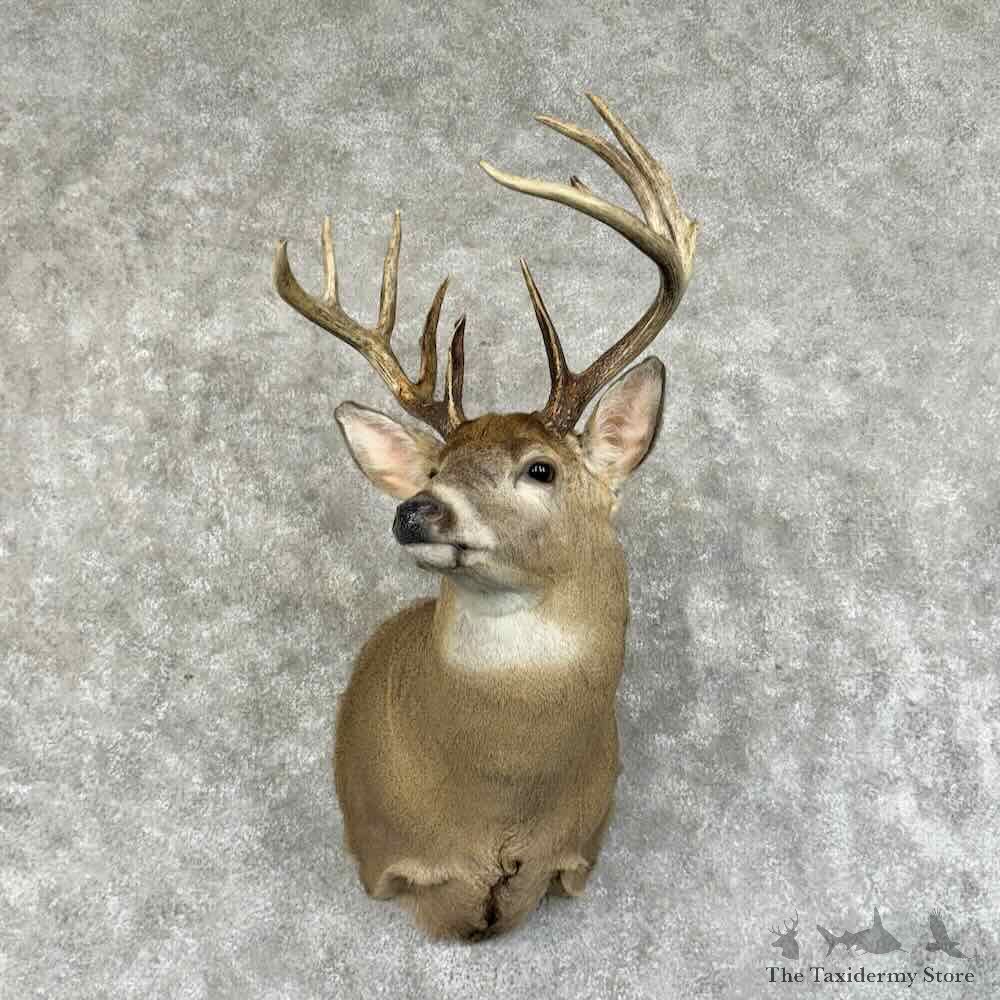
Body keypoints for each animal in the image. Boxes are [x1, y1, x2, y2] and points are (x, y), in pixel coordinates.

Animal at [272, 93, 698, 941]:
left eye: (541, 468)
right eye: (434, 468)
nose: (417, 509)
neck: (500, 805)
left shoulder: (574, 856)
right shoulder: (390, 859)